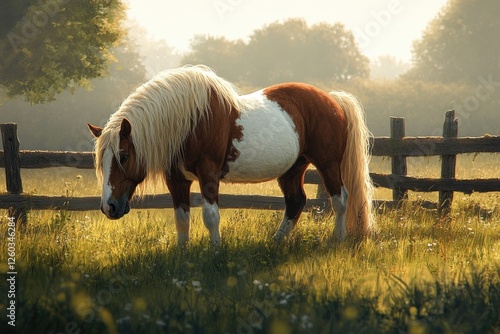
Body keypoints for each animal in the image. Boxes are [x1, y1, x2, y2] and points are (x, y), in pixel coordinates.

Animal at [87, 65, 376, 247]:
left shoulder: (208, 174)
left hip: (328, 164)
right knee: (296, 202)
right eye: (101, 163)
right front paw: (182, 254)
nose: (109, 207)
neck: (190, 120)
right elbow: (182, 218)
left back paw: (337, 240)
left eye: (124, 156)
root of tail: (332, 100)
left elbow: (210, 216)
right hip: (293, 169)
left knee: (340, 199)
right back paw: (275, 242)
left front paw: (215, 252)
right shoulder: (177, 179)